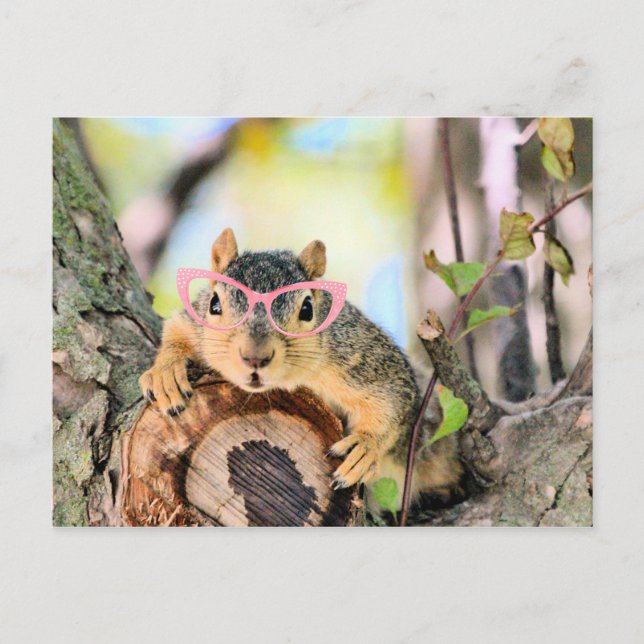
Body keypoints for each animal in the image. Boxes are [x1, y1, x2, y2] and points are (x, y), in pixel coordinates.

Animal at [139, 228, 462, 510]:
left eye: (307, 309)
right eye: (215, 304)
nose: (255, 357)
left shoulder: (363, 358)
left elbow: (392, 398)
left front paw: (365, 447)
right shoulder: (195, 323)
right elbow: (177, 328)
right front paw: (166, 373)